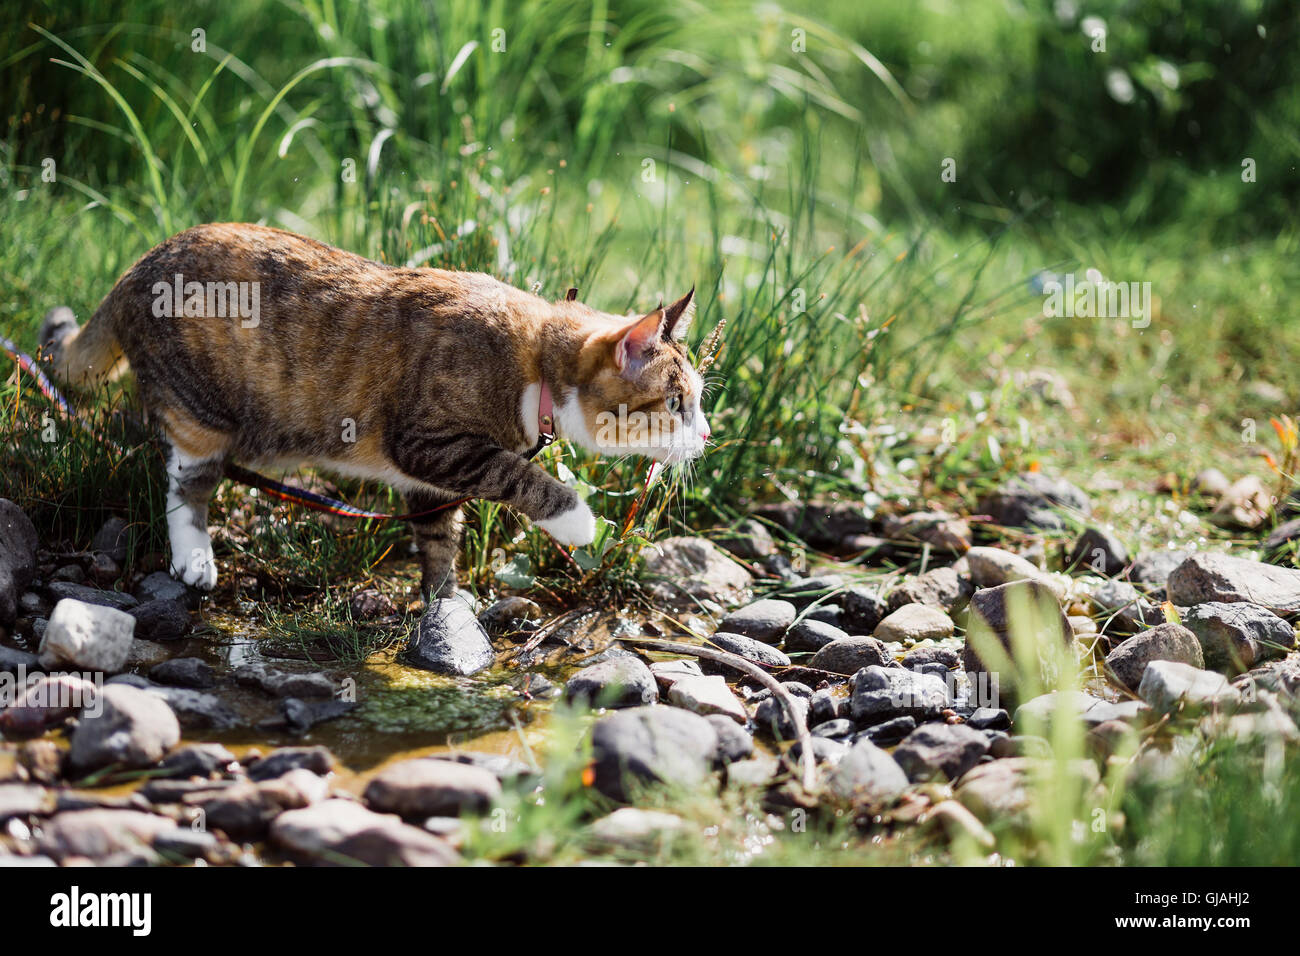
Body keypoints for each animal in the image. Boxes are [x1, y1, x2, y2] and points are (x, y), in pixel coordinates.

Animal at [43, 225, 712, 598]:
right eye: (677, 402)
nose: (707, 436)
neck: (536, 362)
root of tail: (138, 266)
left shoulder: (431, 477)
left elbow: (440, 537)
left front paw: (446, 603)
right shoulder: (431, 442)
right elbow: (519, 474)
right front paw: (577, 520)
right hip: (200, 413)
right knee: (187, 484)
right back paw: (195, 557)